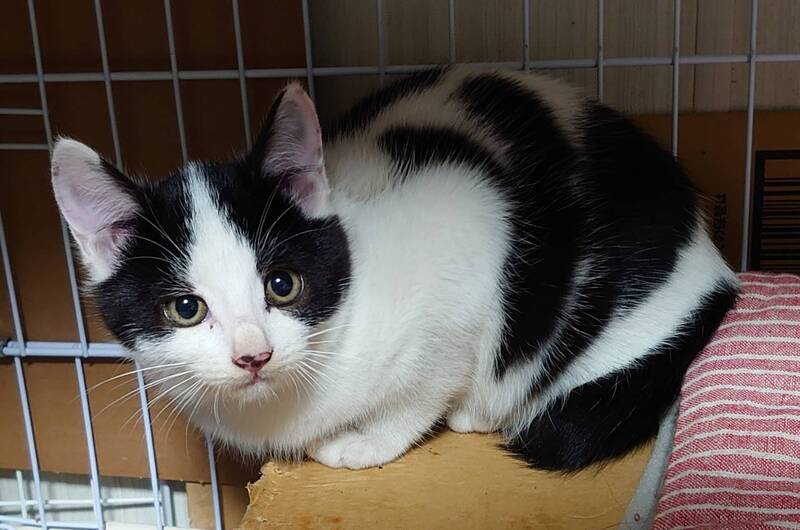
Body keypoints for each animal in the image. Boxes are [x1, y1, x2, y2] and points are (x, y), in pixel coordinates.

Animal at [51, 66, 739, 471]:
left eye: (282, 284)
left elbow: (426, 384)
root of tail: (717, 267)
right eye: (186, 308)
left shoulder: (471, 230)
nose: (253, 355)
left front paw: (368, 441)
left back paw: (481, 411)